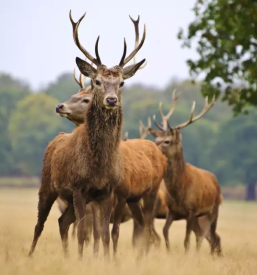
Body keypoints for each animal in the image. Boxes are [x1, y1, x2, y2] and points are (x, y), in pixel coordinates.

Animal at [148, 91, 222, 258]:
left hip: (213, 210)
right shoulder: (172, 211)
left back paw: (211, 256)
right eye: (156, 139)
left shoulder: (191, 210)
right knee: (203, 235)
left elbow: (186, 240)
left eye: (167, 141)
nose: (151, 149)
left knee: (212, 235)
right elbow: (165, 232)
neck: (179, 191)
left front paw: (186, 255)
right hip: (200, 216)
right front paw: (169, 252)